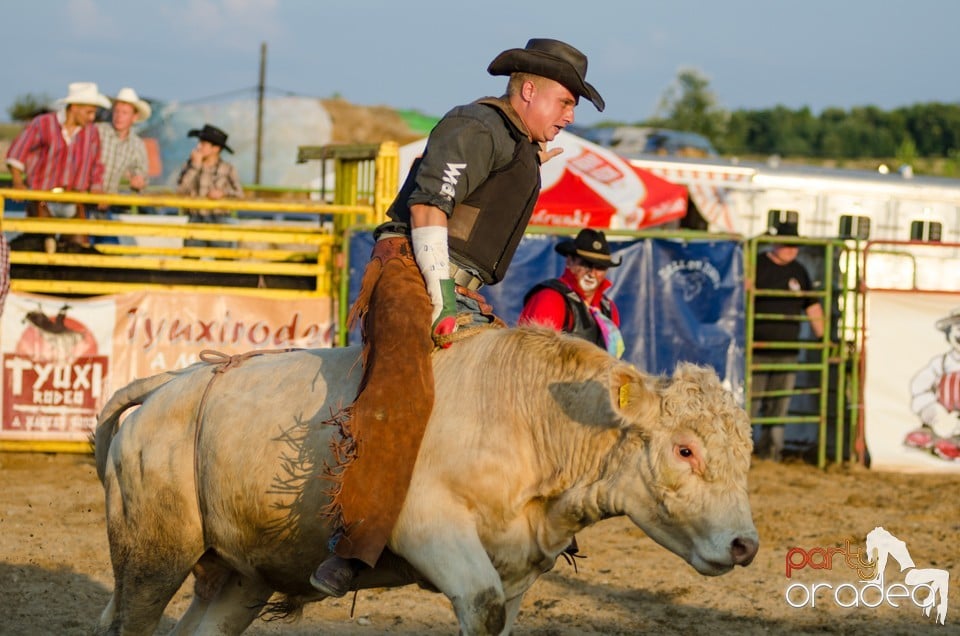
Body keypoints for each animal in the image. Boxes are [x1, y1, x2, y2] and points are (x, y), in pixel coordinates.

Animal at [95, 328, 756, 636]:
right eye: (685, 449)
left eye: (746, 451)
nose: (744, 544)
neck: (525, 417)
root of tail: (170, 386)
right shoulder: (432, 531)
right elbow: (481, 608)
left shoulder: (519, 568)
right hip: (152, 556)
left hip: (238, 575)